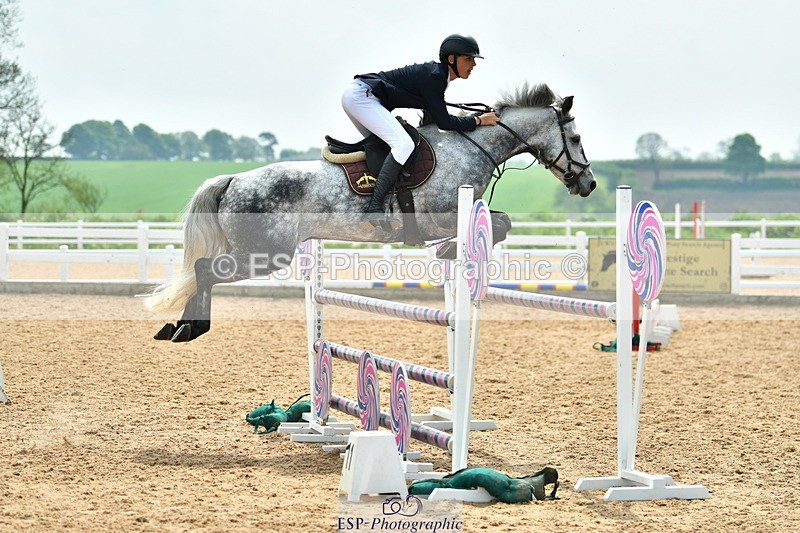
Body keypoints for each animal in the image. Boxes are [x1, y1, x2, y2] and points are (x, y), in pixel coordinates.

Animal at [146, 83, 596, 342]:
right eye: (575, 138)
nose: (589, 184)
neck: (470, 145)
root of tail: (233, 179)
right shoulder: (438, 214)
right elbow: (499, 222)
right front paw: (450, 250)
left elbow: (500, 221)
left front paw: (449, 251)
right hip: (265, 254)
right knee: (204, 269)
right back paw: (189, 328)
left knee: (201, 271)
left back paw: (179, 327)